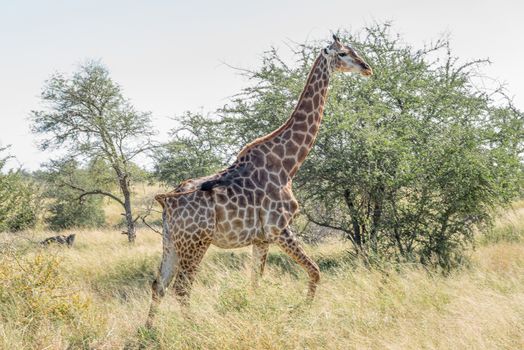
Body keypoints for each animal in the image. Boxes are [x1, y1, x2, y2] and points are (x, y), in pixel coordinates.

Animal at [145, 34, 370, 326]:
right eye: (342, 53)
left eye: (353, 50)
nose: (367, 68)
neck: (288, 164)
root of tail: (165, 201)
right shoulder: (279, 229)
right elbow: (315, 271)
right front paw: (299, 312)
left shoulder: (260, 239)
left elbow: (255, 282)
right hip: (196, 243)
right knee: (181, 288)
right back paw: (195, 327)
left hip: (171, 242)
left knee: (159, 284)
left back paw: (148, 330)